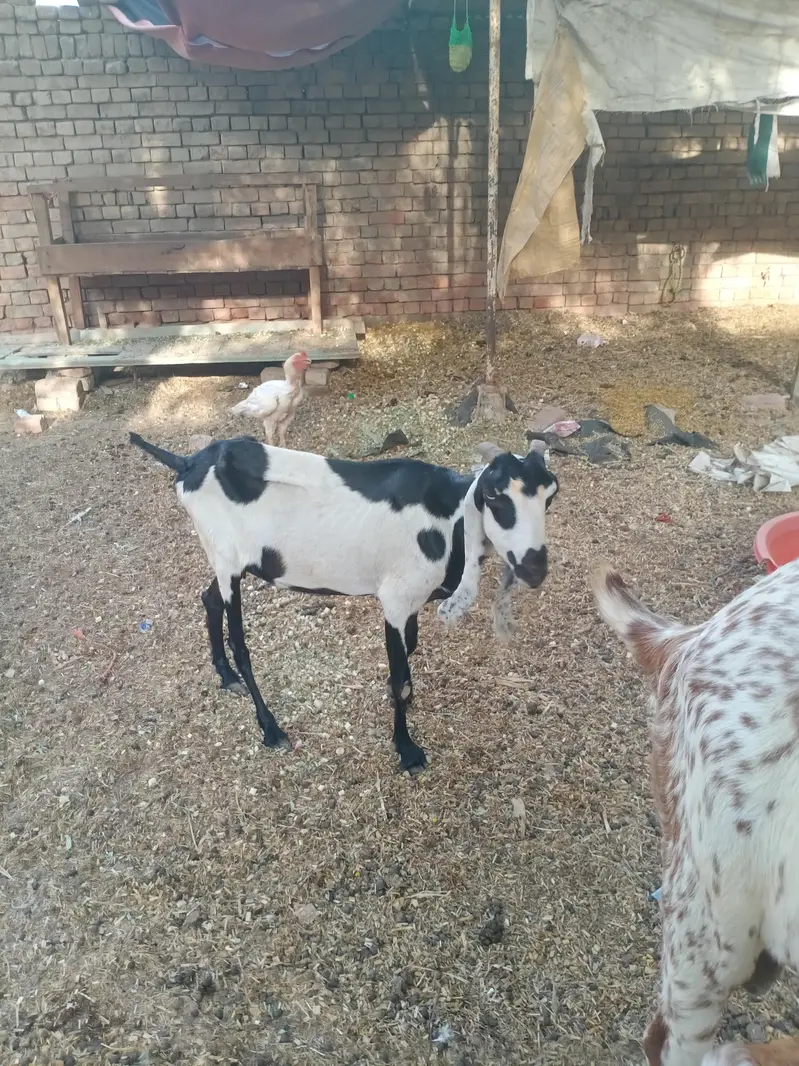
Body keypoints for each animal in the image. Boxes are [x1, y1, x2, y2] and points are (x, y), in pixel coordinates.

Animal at [129, 433, 559, 772]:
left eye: (551, 496)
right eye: (493, 496)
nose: (534, 567)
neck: (447, 521)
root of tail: (188, 463)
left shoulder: (410, 602)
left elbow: (408, 654)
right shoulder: (396, 601)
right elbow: (402, 678)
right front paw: (407, 750)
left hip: (228, 562)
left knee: (210, 600)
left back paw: (225, 675)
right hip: (226, 557)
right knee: (240, 642)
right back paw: (270, 727)